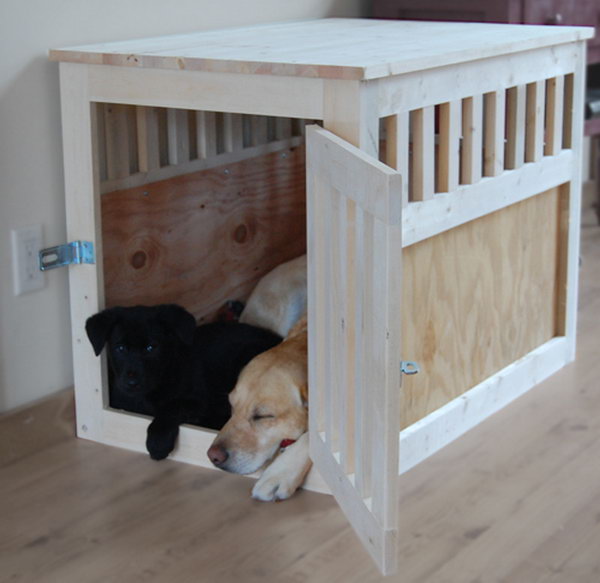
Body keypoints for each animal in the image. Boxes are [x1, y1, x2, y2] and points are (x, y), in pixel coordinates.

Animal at [85, 306, 282, 460]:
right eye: (120, 348)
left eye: (151, 347)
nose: (132, 382)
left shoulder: (199, 401)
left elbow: (172, 406)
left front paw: (158, 441)